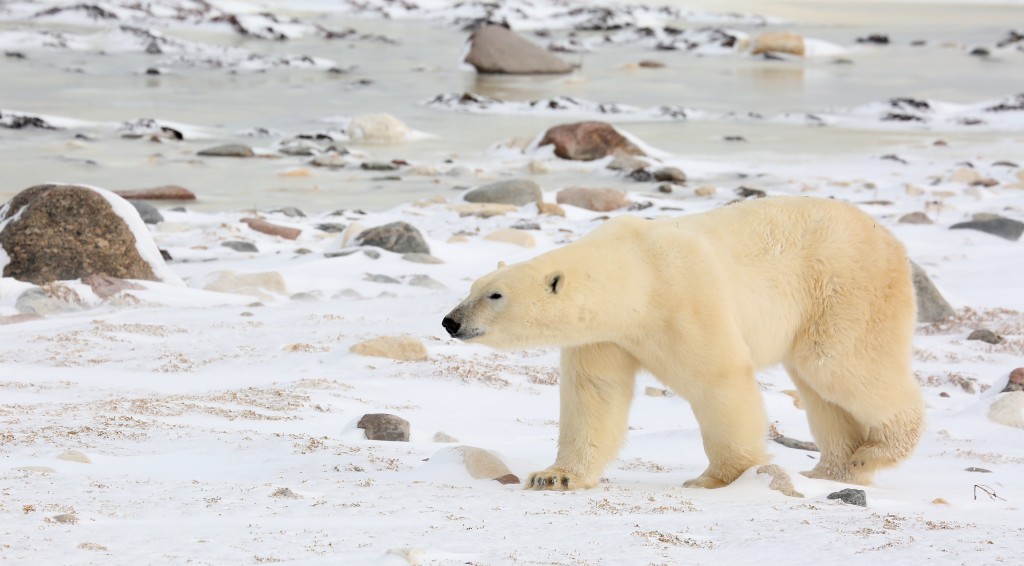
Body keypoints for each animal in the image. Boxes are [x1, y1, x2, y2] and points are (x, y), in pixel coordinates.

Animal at [442, 196, 924, 490]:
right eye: (473, 287)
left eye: (495, 295)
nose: (451, 321)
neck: (636, 274)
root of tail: (890, 240)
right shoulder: (606, 336)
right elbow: (594, 395)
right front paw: (554, 476)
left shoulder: (684, 298)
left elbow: (718, 380)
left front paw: (720, 478)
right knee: (821, 391)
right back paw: (832, 470)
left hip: (845, 290)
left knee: (840, 365)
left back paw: (871, 455)